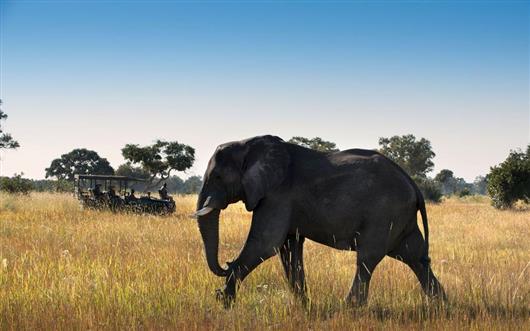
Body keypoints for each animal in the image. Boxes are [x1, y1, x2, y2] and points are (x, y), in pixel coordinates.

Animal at [192, 135, 444, 308]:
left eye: (217, 177)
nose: (224, 264)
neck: (248, 144)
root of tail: (413, 185)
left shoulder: (277, 195)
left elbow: (265, 244)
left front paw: (224, 302)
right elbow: (289, 248)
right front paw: (304, 306)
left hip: (385, 213)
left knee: (367, 258)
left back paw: (349, 308)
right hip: (401, 218)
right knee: (415, 257)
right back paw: (441, 306)